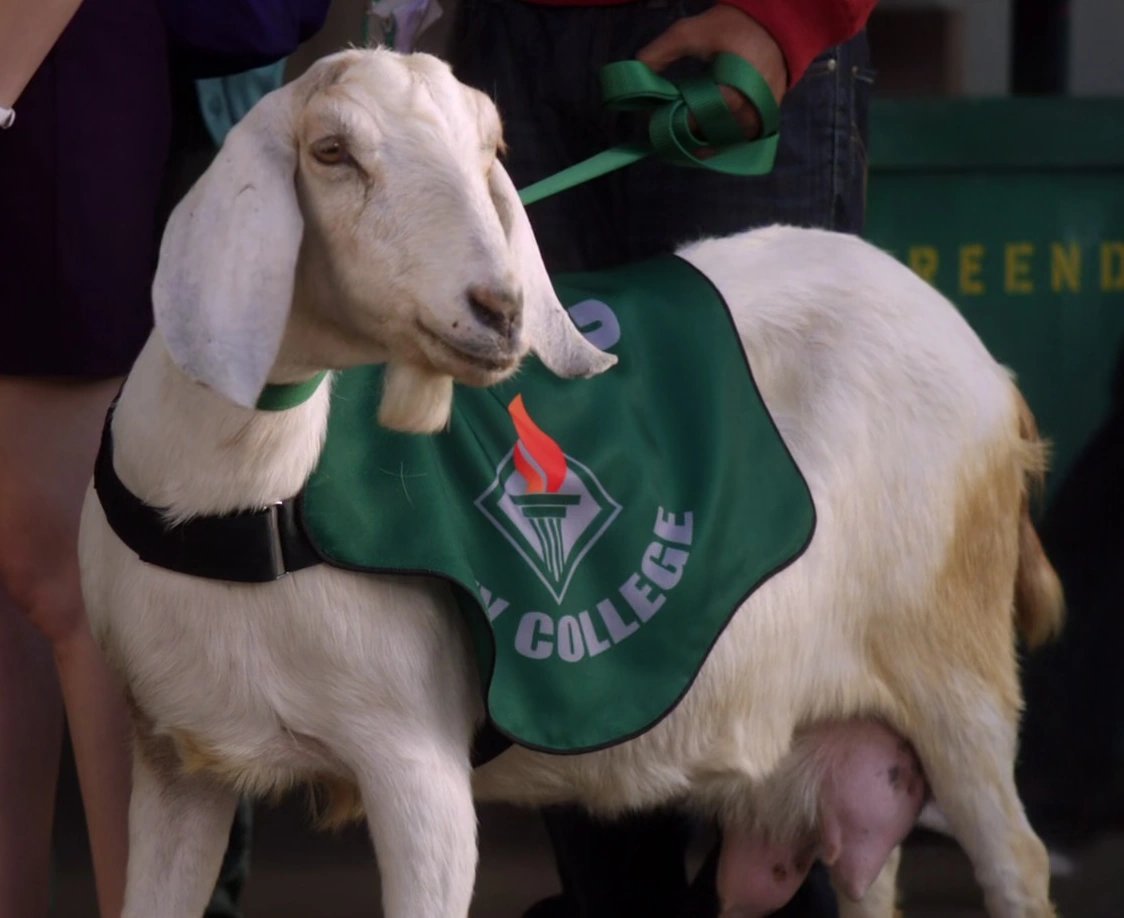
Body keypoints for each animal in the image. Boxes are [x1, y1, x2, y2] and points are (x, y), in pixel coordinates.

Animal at [77, 47, 1064, 918]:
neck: (250, 493)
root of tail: (998, 378)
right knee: (868, 871)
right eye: (331, 151)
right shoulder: (172, 760)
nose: (500, 308)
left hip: (954, 666)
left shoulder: (414, 759)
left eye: (490, 151)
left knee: (1016, 859)